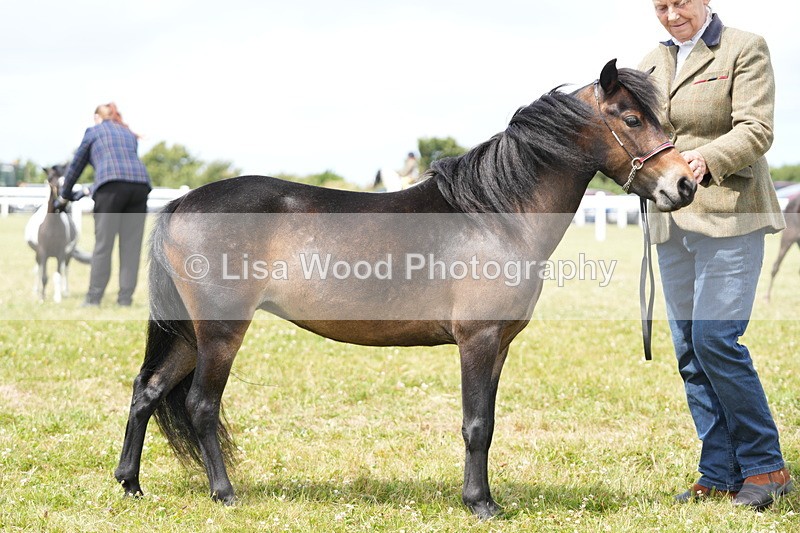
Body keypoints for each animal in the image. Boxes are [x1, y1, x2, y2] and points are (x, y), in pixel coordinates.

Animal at [24, 165, 91, 302]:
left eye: (68, 178)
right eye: (50, 178)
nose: (64, 200)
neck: (51, 227)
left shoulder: (61, 253)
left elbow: (58, 275)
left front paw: (57, 297)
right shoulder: (43, 252)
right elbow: (44, 276)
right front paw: (42, 298)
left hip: (68, 254)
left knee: (65, 270)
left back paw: (65, 291)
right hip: (38, 254)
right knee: (38, 270)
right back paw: (36, 290)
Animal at [114, 60, 696, 519]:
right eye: (631, 118)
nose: (685, 183)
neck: (496, 215)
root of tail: (181, 202)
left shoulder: (500, 345)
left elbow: (488, 421)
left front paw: (485, 496)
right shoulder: (478, 339)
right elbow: (476, 423)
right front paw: (480, 504)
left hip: (190, 332)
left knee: (148, 391)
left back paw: (131, 485)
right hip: (219, 330)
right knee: (201, 404)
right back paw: (224, 493)